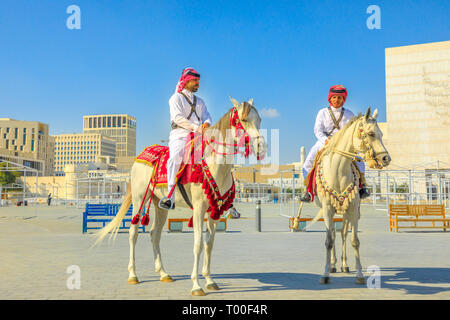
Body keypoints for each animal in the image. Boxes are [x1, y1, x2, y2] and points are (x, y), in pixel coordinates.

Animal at [92, 97, 266, 296]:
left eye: (259, 120)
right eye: (243, 120)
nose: (261, 147)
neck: (216, 165)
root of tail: (139, 158)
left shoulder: (215, 211)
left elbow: (209, 243)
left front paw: (209, 280)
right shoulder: (199, 209)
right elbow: (198, 244)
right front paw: (196, 285)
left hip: (160, 205)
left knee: (155, 234)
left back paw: (163, 273)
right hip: (139, 200)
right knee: (133, 233)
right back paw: (133, 275)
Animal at [310, 108, 390, 284]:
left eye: (381, 133)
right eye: (371, 133)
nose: (386, 158)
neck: (338, 170)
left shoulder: (353, 208)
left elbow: (354, 240)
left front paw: (359, 274)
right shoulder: (327, 209)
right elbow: (329, 241)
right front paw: (325, 273)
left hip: (345, 211)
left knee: (343, 234)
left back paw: (344, 265)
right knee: (334, 234)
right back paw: (333, 265)